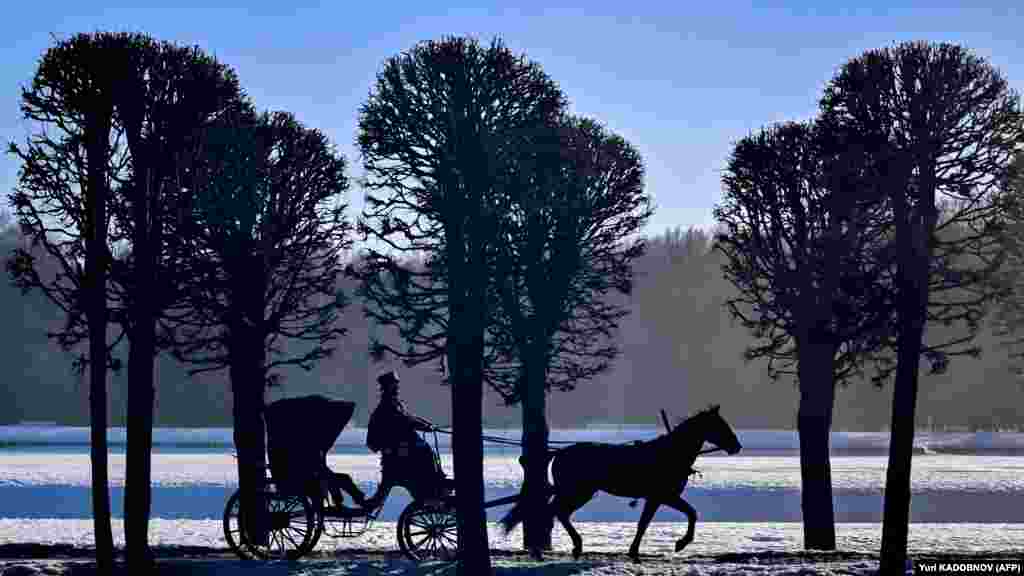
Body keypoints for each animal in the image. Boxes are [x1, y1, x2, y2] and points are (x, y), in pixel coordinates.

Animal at [499, 401, 741, 557]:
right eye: (720, 425)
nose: (736, 446)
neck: (669, 454)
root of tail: (559, 452)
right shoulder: (664, 496)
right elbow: (690, 513)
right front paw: (681, 543)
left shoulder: (657, 498)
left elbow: (646, 523)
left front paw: (634, 550)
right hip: (577, 492)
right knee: (555, 511)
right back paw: (561, 546)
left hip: (579, 493)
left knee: (558, 512)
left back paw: (569, 545)